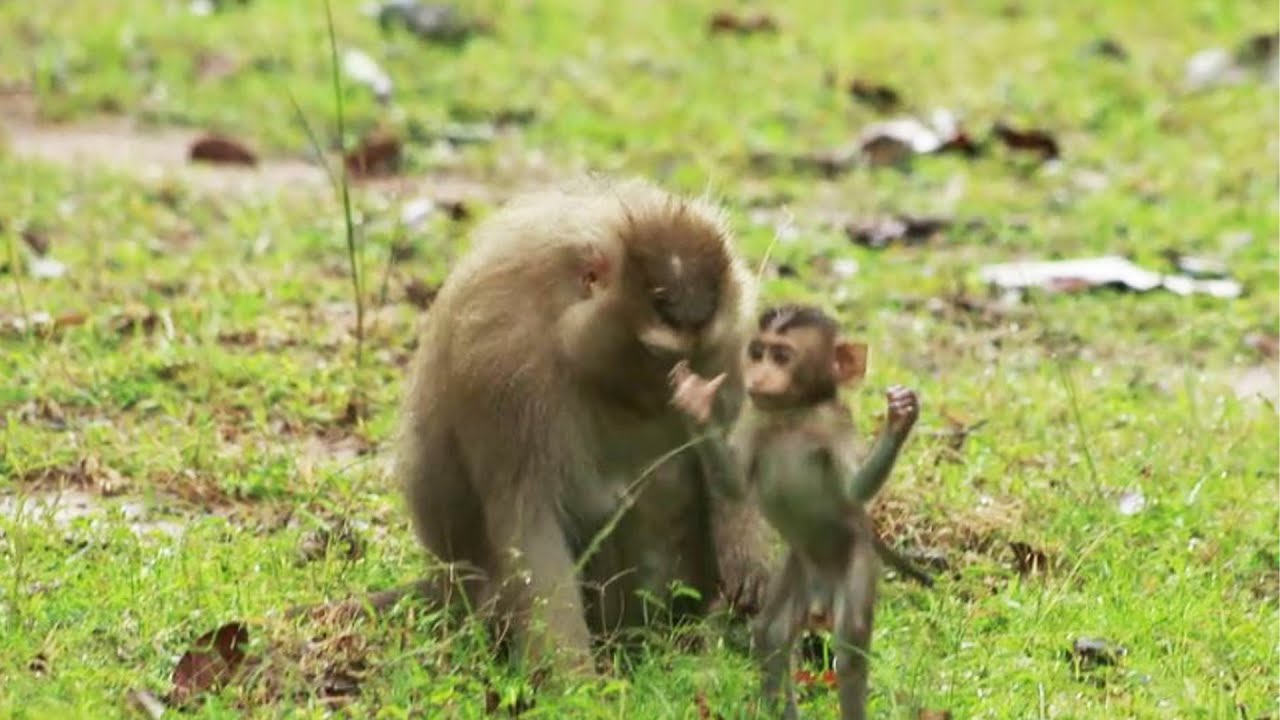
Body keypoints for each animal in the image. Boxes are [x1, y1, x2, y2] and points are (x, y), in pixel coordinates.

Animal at [393, 176, 774, 675]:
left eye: (692, 360)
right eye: (657, 356)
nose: (678, 395)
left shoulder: (729, 339)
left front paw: (748, 557)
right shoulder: (505, 363)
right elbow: (531, 523)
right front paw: (575, 683)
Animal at [669, 304, 923, 720]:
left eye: (782, 357)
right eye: (757, 352)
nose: (757, 376)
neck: (794, 414)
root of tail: (820, 590)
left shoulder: (834, 425)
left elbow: (854, 491)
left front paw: (899, 421)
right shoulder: (753, 418)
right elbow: (733, 486)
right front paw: (696, 403)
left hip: (855, 559)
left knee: (850, 647)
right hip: (797, 566)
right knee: (771, 634)